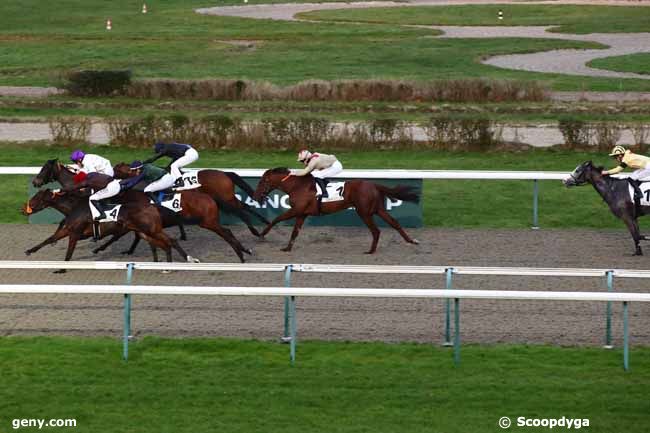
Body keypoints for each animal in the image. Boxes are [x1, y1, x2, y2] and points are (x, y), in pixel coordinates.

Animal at [251, 166, 418, 253]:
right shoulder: (302, 214)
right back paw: (411, 241)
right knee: (394, 223)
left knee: (376, 230)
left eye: (262, 182)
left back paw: (371, 250)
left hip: (364, 212)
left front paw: (261, 234)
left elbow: (276, 219)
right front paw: (287, 248)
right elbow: (295, 232)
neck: (297, 187)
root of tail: (374, 185)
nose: (255, 196)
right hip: (378, 209)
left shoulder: (296, 210)